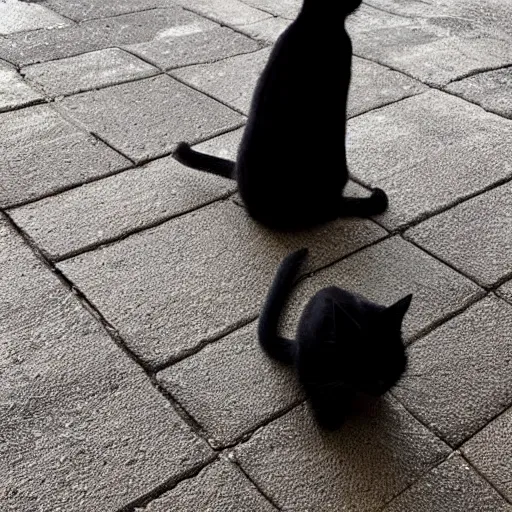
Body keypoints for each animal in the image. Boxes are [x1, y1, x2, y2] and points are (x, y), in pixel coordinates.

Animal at [260, 248, 412, 428]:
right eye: (359, 360)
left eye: (392, 357)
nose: (380, 384)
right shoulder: (310, 359)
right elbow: (315, 388)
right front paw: (328, 417)